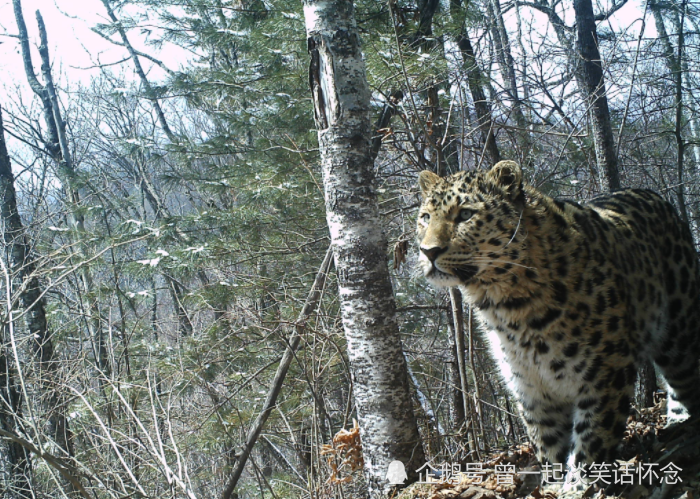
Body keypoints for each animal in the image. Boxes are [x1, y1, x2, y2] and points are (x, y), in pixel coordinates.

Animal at [416, 162, 700, 466]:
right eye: (425, 217)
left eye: (466, 214)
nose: (428, 251)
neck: (506, 306)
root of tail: (654, 195)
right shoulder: (531, 389)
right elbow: (549, 447)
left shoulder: (605, 376)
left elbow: (591, 445)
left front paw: (579, 477)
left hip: (680, 334)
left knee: (686, 379)